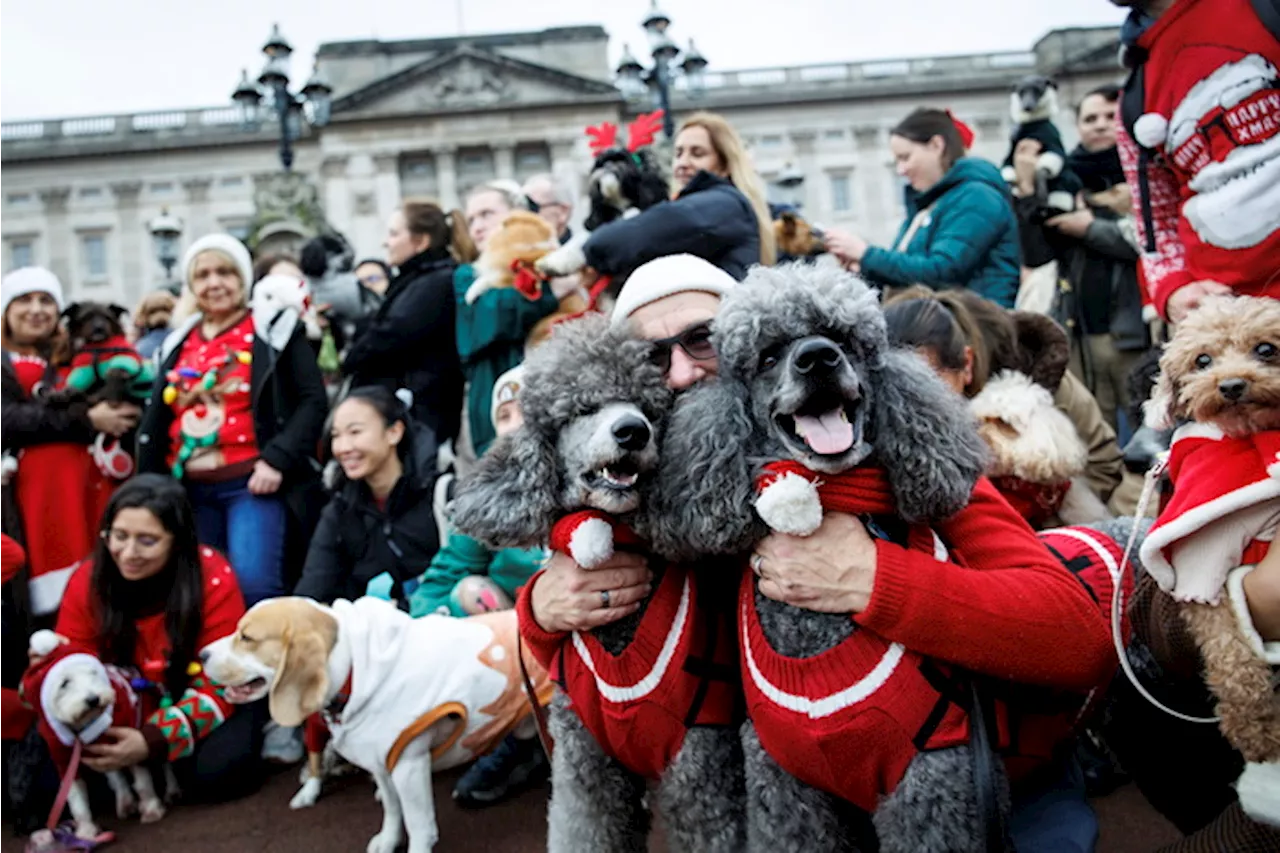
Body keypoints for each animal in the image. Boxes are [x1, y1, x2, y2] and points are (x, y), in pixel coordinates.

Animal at [1146, 294, 1280, 824]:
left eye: (1266, 349)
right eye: (1202, 360)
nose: (1232, 385)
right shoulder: (1201, 563)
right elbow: (1231, 656)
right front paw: (1255, 730)